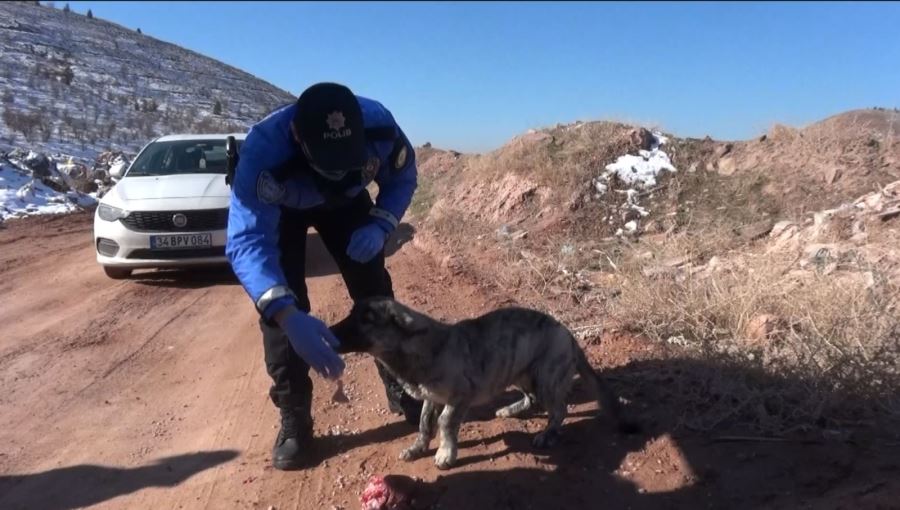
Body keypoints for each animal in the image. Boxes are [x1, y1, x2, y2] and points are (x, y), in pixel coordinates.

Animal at [328, 298, 632, 470]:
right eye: (352, 313)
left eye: (366, 319)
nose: (328, 332)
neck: (417, 348)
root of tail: (569, 335)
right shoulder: (431, 397)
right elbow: (425, 423)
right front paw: (418, 448)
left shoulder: (459, 397)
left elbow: (445, 423)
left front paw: (445, 453)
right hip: (519, 372)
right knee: (532, 399)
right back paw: (510, 410)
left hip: (545, 377)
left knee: (560, 410)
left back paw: (547, 434)